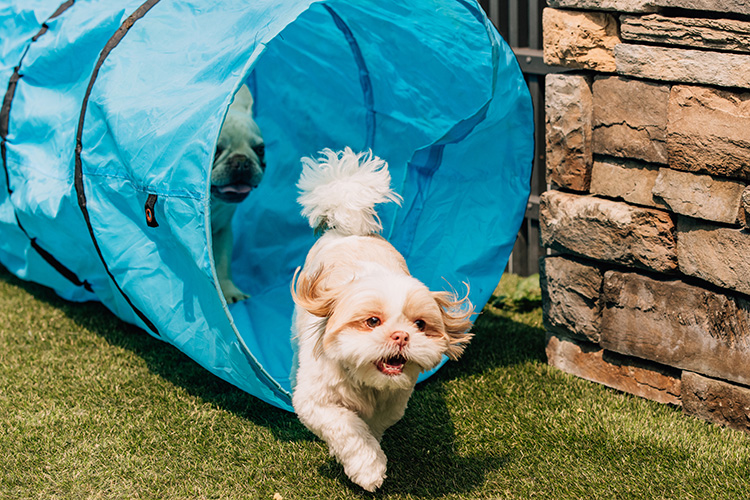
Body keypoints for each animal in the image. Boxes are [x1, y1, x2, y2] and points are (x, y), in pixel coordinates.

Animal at [212, 84, 268, 302]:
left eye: (260, 149)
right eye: (215, 150)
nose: (242, 161)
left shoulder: (222, 231)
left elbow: (222, 264)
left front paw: (229, 291)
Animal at [290, 147, 472, 492]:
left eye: (420, 325)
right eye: (372, 321)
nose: (401, 336)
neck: (365, 381)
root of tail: (351, 229)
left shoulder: (394, 402)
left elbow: (370, 428)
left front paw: (370, 453)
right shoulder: (316, 401)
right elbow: (348, 428)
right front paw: (367, 469)